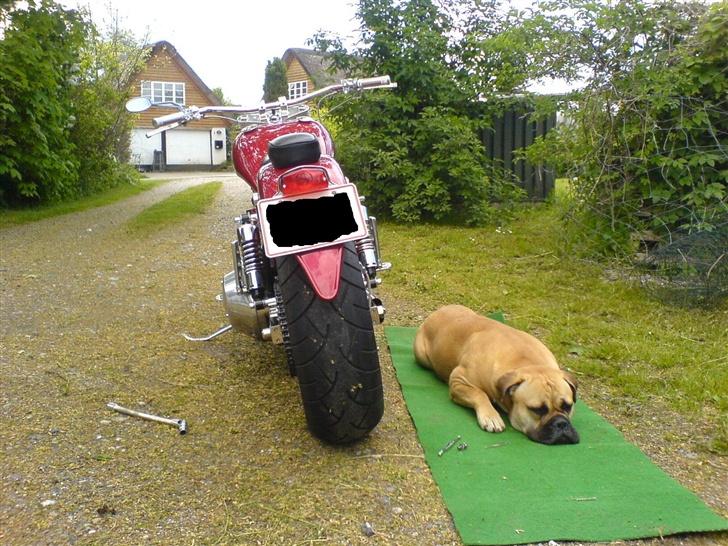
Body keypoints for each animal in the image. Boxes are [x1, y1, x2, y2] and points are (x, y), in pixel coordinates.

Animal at [416, 304, 580, 444]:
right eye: (537, 410)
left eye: (568, 406)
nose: (561, 423)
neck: (527, 362)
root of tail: (437, 311)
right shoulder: (459, 380)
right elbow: (479, 393)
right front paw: (491, 416)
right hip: (421, 356)